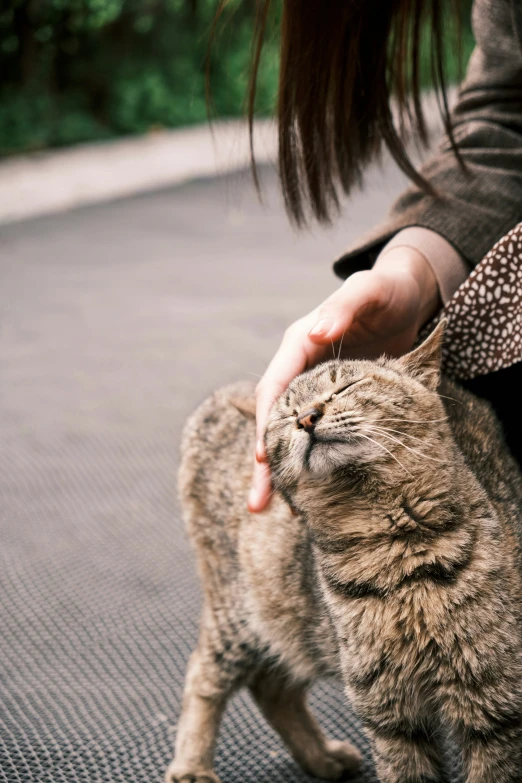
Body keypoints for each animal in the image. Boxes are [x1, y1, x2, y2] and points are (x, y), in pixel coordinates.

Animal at [165, 322, 520, 780]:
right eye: (285, 414)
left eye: (345, 386)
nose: (306, 417)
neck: (393, 555)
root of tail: (219, 397)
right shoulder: (390, 712)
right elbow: (403, 770)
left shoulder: (494, 701)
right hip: (243, 611)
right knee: (205, 673)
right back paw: (192, 765)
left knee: (271, 686)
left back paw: (322, 757)